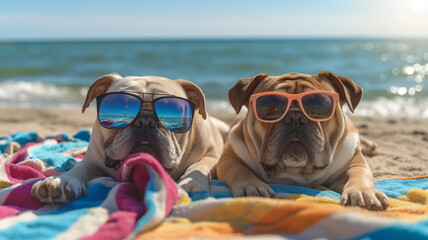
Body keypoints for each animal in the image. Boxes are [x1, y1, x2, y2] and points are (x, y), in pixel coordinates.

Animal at [31, 74, 229, 203]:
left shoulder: (213, 157)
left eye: (175, 110)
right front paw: (61, 180)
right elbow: (79, 169)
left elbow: (199, 166)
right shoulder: (92, 162)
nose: (146, 121)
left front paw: (192, 183)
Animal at [219, 71, 390, 210]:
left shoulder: (354, 162)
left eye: (321, 104)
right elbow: (240, 171)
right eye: (269, 105)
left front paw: (363, 192)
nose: (295, 117)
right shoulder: (229, 159)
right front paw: (253, 188)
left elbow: (359, 175)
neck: (298, 172)